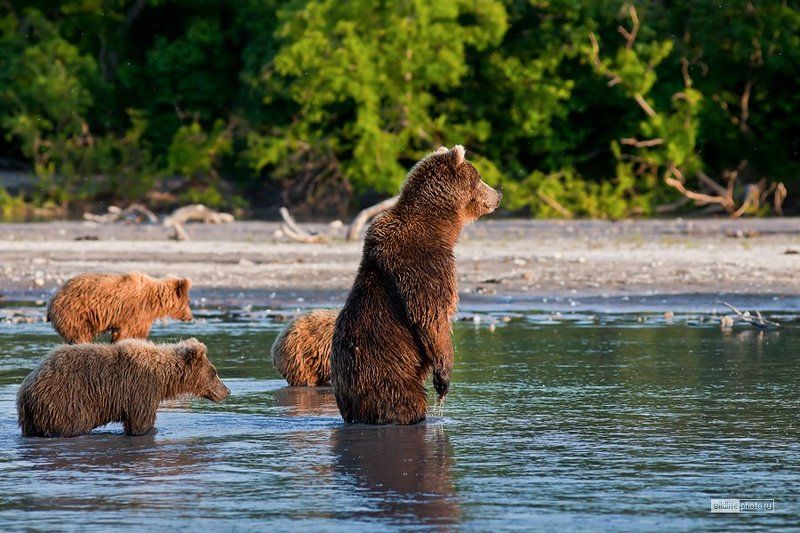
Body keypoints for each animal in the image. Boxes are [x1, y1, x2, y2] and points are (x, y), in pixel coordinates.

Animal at [17, 338, 230, 437]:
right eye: (214, 372)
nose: (227, 391)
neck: (163, 378)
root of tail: (26, 389)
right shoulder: (141, 388)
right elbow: (140, 422)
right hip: (65, 402)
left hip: (31, 418)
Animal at [47, 272, 194, 344]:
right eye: (189, 301)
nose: (190, 316)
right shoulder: (136, 312)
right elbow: (127, 333)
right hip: (76, 313)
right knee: (80, 334)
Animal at [331, 145, 501, 424]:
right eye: (478, 177)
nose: (498, 194)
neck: (440, 227)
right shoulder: (425, 265)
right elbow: (431, 315)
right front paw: (443, 378)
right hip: (389, 377)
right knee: (406, 403)